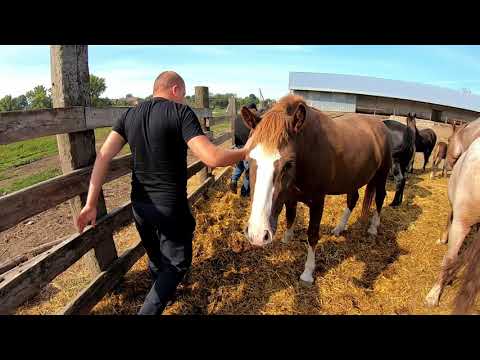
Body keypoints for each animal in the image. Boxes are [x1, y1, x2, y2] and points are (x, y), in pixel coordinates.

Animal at [240, 95, 394, 284]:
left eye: (288, 164)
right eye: (248, 161)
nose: (257, 235)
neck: (307, 151)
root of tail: (381, 125)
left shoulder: (317, 201)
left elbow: (312, 234)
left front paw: (307, 272)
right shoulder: (290, 196)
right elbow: (290, 217)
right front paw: (287, 239)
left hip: (381, 175)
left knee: (380, 197)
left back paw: (373, 227)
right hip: (353, 178)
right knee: (353, 198)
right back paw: (339, 228)